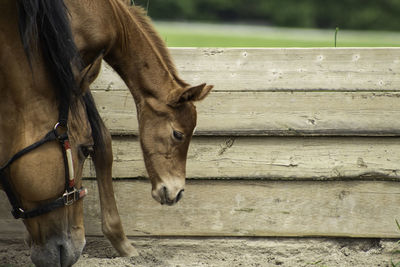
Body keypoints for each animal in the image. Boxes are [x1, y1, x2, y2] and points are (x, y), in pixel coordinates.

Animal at [0, 0, 212, 266]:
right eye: (178, 134)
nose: (176, 192)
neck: (107, 15)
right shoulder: (73, 68)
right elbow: (101, 139)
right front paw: (120, 240)